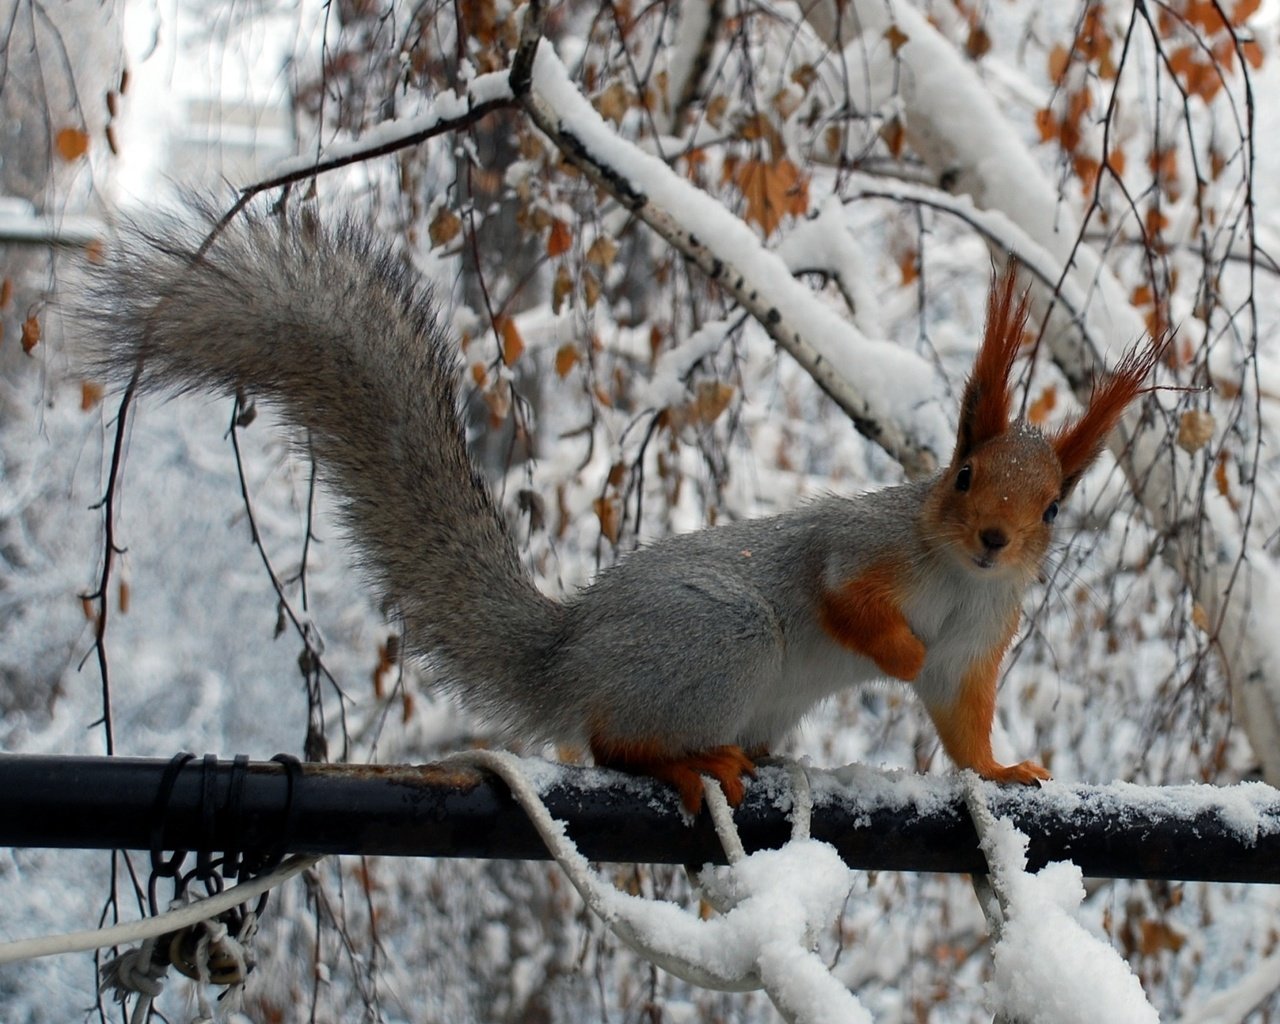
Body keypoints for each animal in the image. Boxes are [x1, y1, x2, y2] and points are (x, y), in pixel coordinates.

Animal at [74, 203, 1167, 814]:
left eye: (1054, 509)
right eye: (962, 475)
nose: (993, 540)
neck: (949, 574)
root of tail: (572, 652)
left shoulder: (979, 636)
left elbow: (957, 714)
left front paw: (1000, 770)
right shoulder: (859, 545)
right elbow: (843, 600)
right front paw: (889, 651)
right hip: (721, 639)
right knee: (612, 742)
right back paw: (686, 763)